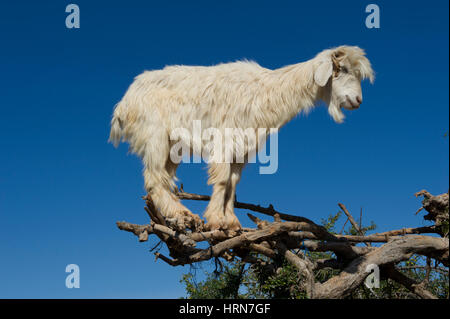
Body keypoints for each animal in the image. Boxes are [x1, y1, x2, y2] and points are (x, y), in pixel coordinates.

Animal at [109, 45, 372, 232]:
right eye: (343, 69)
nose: (358, 100)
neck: (265, 91)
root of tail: (123, 104)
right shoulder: (224, 140)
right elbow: (222, 180)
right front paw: (216, 220)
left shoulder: (243, 147)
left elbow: (233, 183)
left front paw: (232, 223)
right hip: (154, 135)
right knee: (153, 178)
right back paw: (183, 215)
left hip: (173, 146)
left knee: (163, 179)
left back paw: (179, 215)